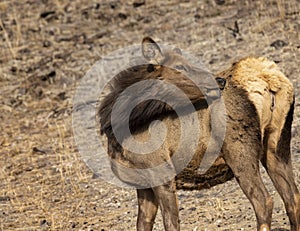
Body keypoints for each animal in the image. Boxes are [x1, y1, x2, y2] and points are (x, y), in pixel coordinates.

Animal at [98, 37, 300, 230]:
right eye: (180, 66)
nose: (219, 80)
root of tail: (267, 77)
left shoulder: (162, 174)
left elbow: (171, 223)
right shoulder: (144, 185)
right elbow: (143, 223)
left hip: (240, 152)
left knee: (263, 200)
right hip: (277, 145)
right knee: (292, 197)